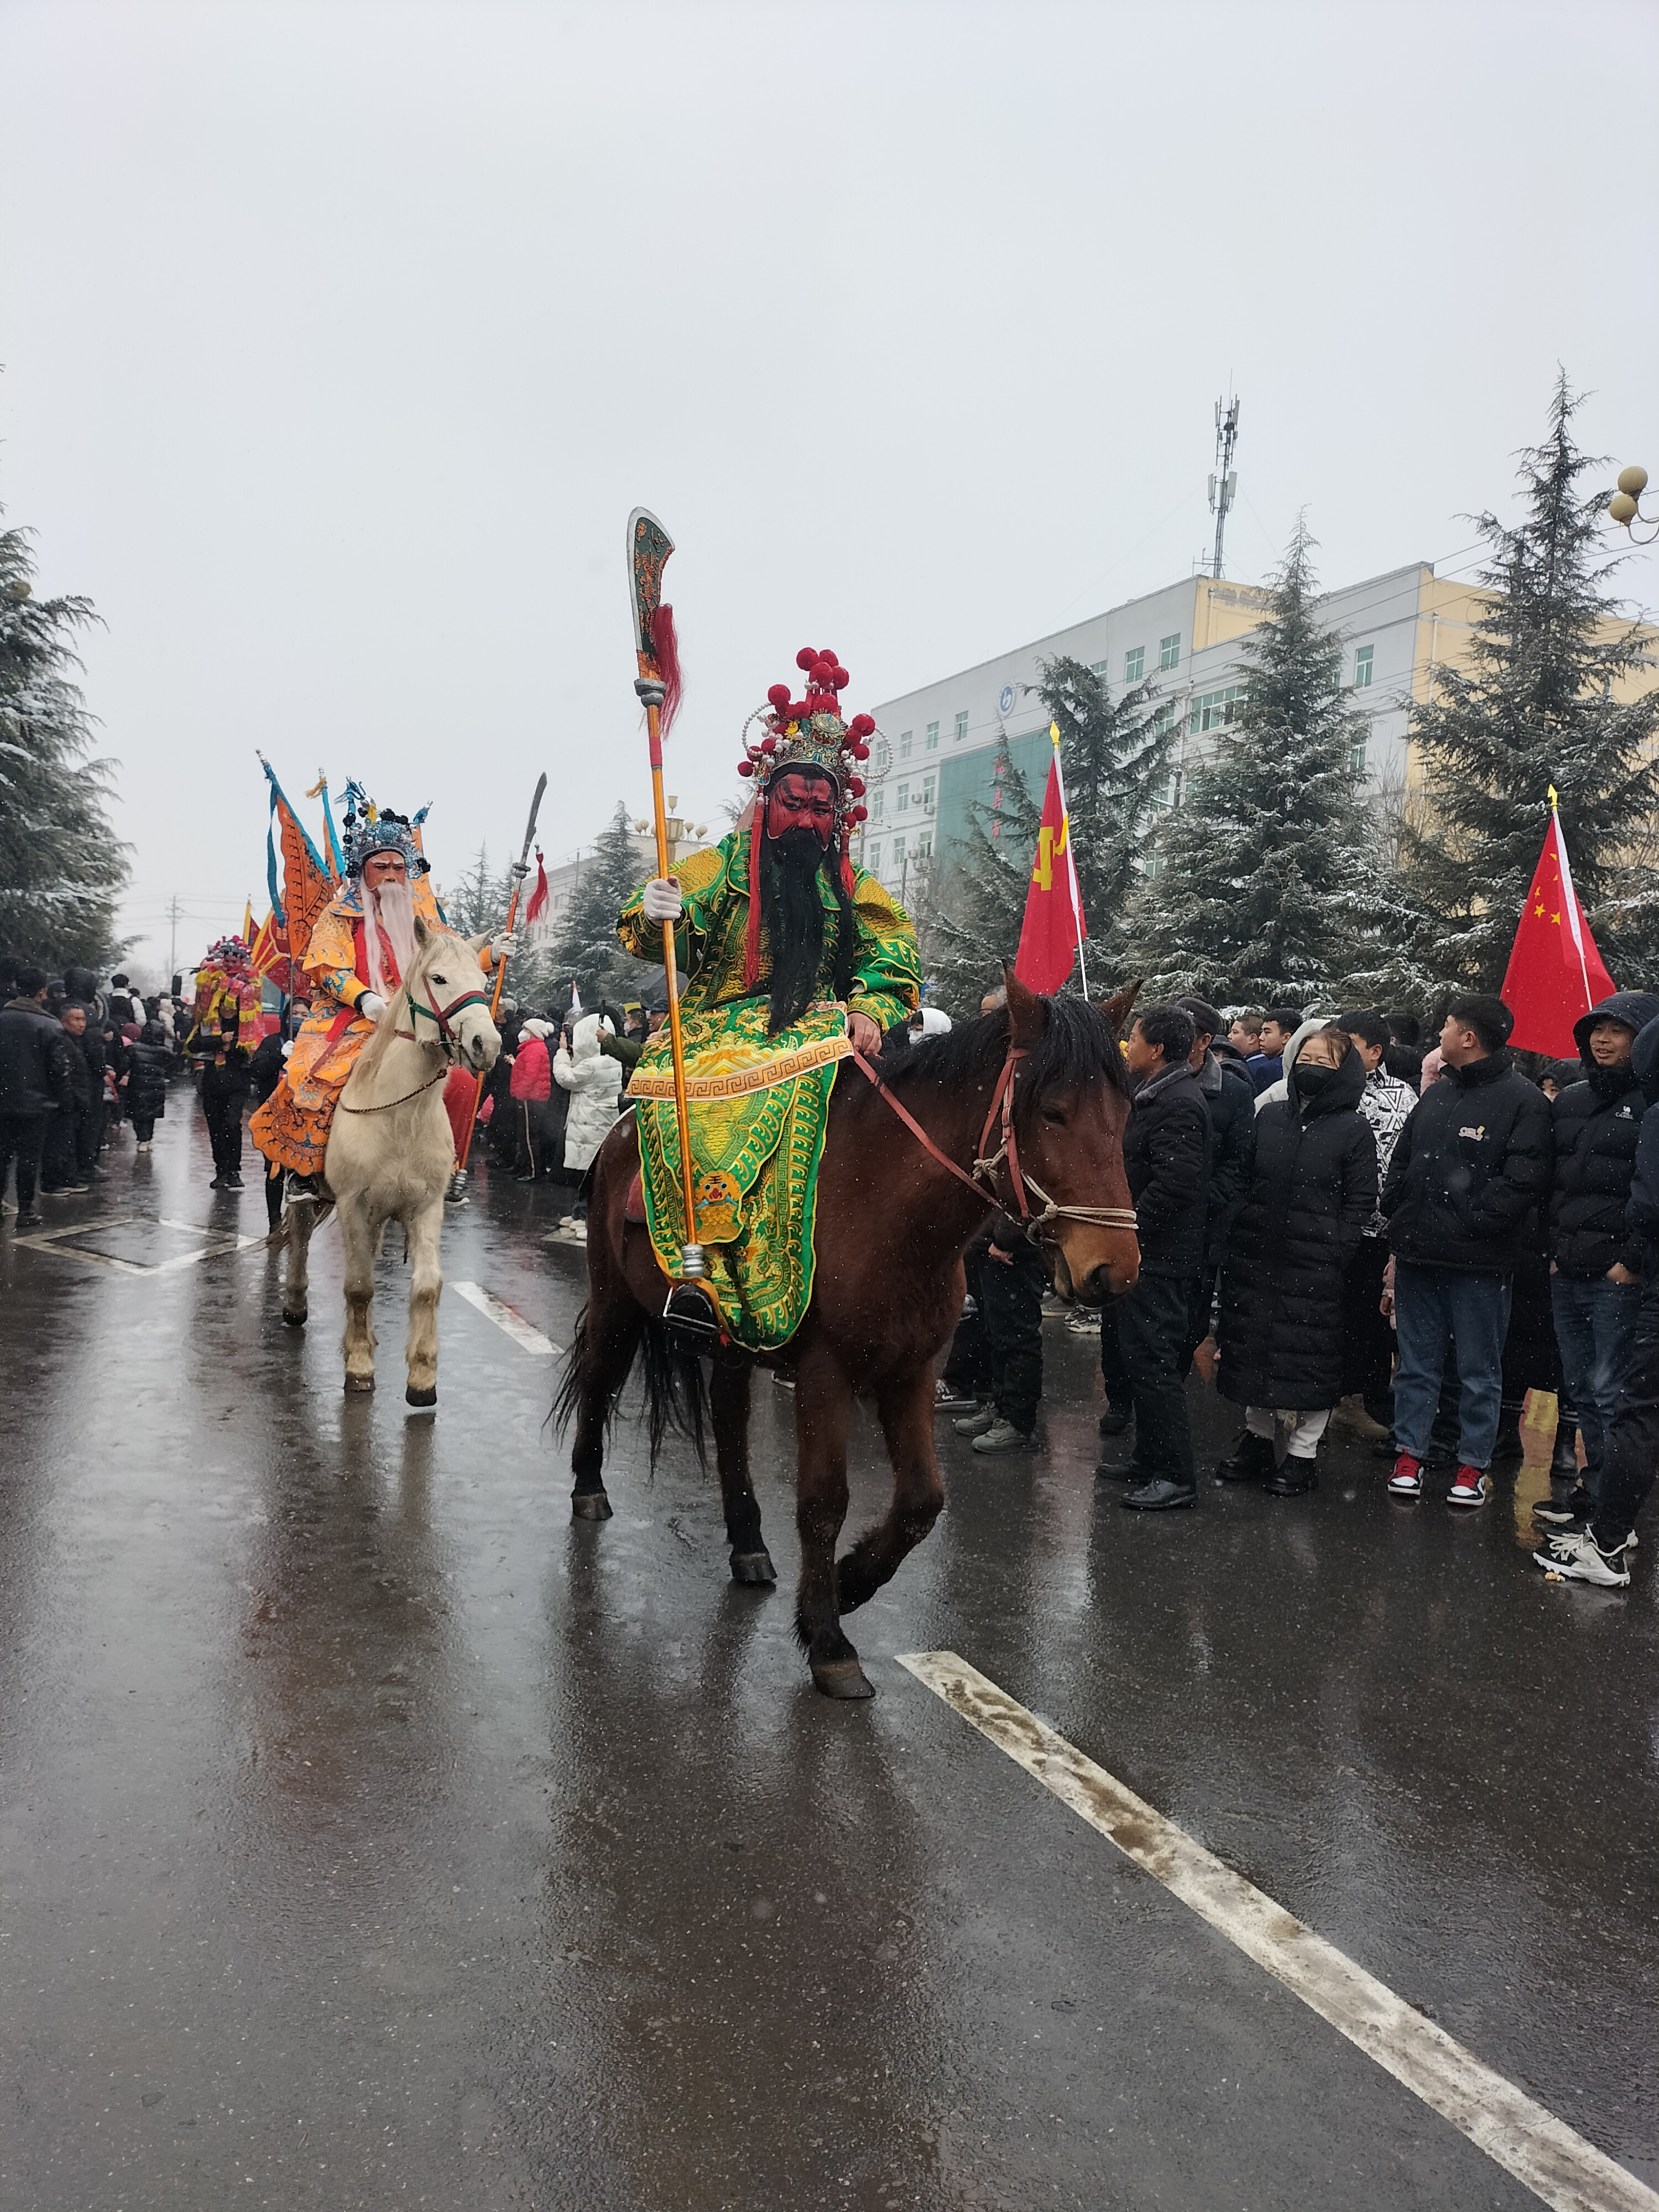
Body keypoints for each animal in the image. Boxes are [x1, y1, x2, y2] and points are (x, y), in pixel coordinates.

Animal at [283, 925, 500, 1407]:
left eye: (484, 979)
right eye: (438, 978)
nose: (488, 1045)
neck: (401, 1115)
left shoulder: (426, 1206)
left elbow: (426, 1287)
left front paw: (422, 1377)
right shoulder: (352, 1203)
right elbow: (359, 1287)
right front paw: (360, 1366)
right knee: (300, 1238)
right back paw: (294, 1304)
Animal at [560, 969, 1141, 1690]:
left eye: (1126, 1113)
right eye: (1053, 1112)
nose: (1114, 1270)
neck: (885, 1208)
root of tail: (615, 1130)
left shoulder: (912, 1370)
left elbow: (923, 1499)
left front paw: (852, 1582)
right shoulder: (825, 1373)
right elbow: (823, 1501)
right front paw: (828, 1637)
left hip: (732, 1339)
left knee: (728, 1421)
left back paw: (748, 1544)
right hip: (615, 1300)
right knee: (598, 1378)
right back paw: (589, 1489)